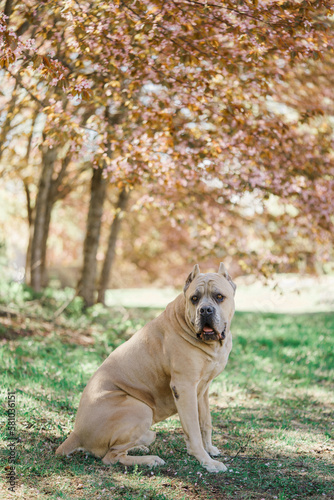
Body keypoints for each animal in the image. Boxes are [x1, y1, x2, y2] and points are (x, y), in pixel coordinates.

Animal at [56, 262, 235, 472]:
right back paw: (149, 459)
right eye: (194, 299)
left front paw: (210, 449)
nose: (205, 310)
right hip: (140, 409)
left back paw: (139, 447)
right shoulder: (184, 388)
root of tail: (76, 434)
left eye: (219, 297)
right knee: (111, 457)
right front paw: (206, 461)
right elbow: (193, 430)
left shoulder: (203, 390)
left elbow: (206, 422)